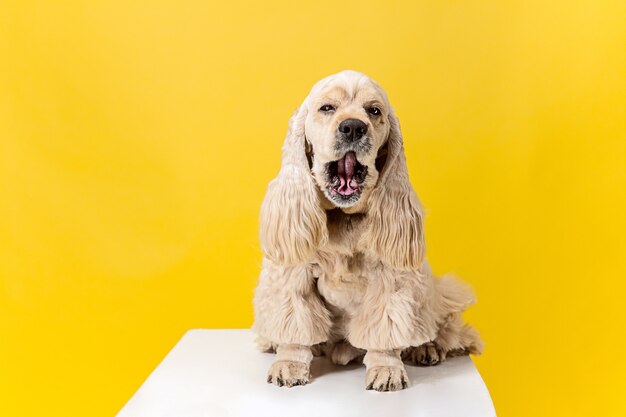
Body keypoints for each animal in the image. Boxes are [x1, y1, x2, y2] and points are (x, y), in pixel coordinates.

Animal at [251, 70, 480, 392]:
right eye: (327, 108)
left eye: (374, 111)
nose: (353, 127)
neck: (343, 218)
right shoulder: (293, 271)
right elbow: (295, 321)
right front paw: (290, 362)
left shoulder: (391, 277)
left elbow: (386, 327)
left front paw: (386, 369)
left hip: (436, 291)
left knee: (444, 326)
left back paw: (426, 348)